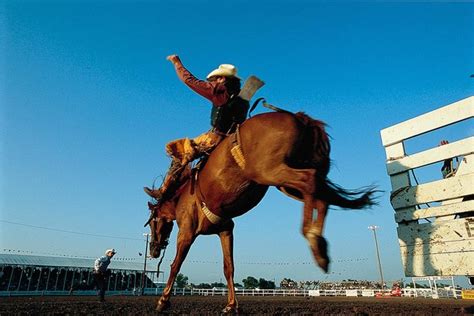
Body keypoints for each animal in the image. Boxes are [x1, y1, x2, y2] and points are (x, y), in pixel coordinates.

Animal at [146, 111, 376, 314]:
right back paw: (320, 248)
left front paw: (163, 302)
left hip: (270, 172)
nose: (154, 250)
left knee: (310, 180)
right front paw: (231, 306)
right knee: (318, 191)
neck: (183, 196)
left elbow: (176, 264)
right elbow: (228, 267)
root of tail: (298, 118)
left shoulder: (186, 231)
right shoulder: (225, 230)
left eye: (152, 222)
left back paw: (313, 239)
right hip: (286, 180)